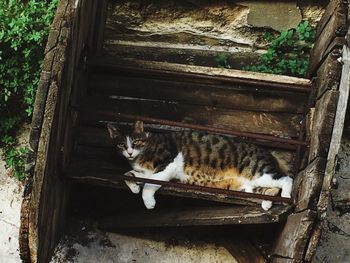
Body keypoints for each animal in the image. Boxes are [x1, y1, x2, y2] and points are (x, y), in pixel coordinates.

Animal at [106, 121, 292, 210]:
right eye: (121, 145)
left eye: (135, 142)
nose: (130, 152)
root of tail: (269, 152)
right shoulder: (146, 172)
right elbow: (128, 174)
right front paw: (134, 187)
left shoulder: (167, 164)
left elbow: (149, 185)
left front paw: (148, 202)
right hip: (251, 185)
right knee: (270, 189)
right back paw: (266, 203)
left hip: (259, 172)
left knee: (287, 179)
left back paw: (286, 196)